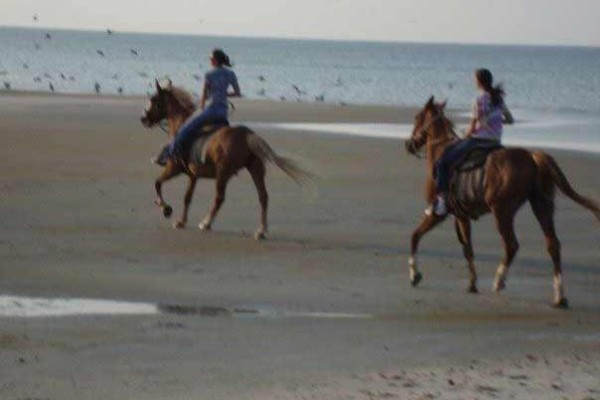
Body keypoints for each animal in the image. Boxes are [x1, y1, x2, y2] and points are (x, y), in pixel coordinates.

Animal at [140, 79, 310, 239]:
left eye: (153, 99)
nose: (143, 119)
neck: (180, 124)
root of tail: (247, 134)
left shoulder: (174, 168)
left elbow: (157, 183)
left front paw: (165, 208)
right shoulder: (193, 175)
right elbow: (187, 197)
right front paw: (181, 221)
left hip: (223, 172)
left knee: (219, 198)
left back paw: (206, 223)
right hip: (255, 168)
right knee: (263, 197)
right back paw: (261, 231)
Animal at [406, 96, 596, 306]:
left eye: (417, 117)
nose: (408, 144)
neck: (441, 148)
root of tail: (532, 157)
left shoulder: (439, 214)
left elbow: (415, 236)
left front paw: (414, 274)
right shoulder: (461, 216)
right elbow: (467, 248)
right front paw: (472, 284)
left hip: (502, 212)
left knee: (512, 245)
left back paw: (499, 280)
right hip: (542, 206)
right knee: (553, 245)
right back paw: (559, 296)